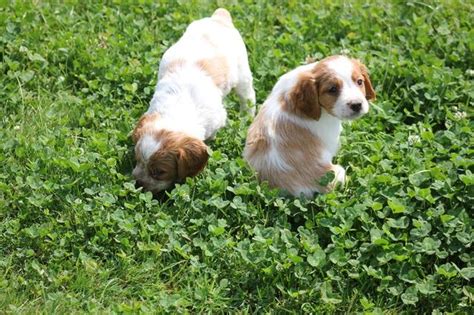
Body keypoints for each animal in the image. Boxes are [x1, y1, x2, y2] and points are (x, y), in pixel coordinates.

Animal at [131, 8, 256, 194]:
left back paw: (246, 118)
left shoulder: (216, 120)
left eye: (159, 172)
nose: (138, 183)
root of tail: (219, 18)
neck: (177, 108)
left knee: (248, 97)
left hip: (242, 74)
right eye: (137, 159)